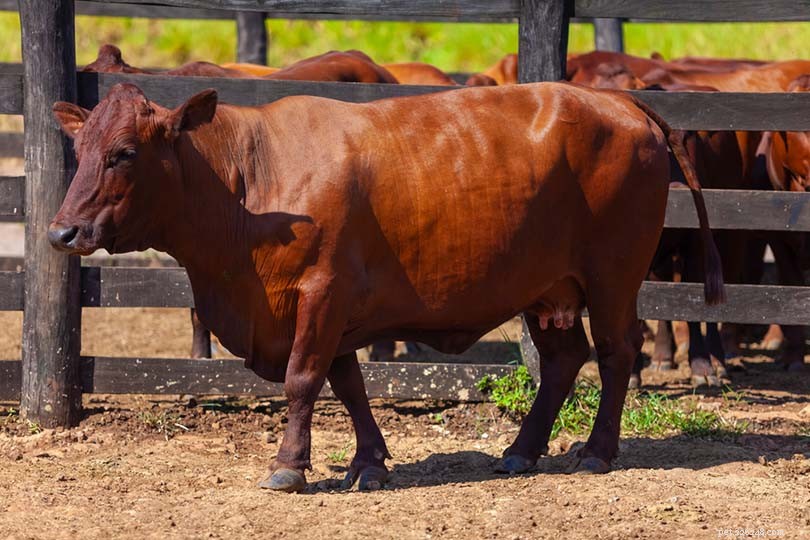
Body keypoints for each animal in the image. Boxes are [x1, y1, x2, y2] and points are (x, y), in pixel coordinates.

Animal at [48, 82, 723, 492]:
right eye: (80, 148)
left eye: (124, 152)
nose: (61, 231)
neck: (249, 182)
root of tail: (618, 102)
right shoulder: (333, 310)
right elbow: (346, 383)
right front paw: (369, 462)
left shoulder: (321, 292)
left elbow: (303, 379)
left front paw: (289, 466)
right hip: (545, 288)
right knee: (562, 361)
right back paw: (522, 450)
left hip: (613, 277)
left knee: (615, 353)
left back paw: (598, 450)